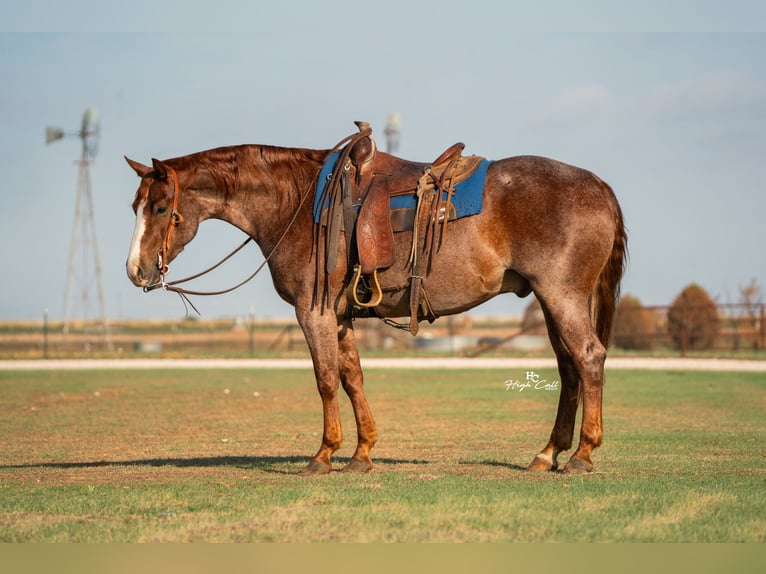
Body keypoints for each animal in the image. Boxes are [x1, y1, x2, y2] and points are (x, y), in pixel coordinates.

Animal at [124, 126, 626, 475]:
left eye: (159, 207)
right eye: (136, 206)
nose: (135, 270)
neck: (296, 204)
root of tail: (598, 184)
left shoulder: (313, 312)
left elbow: (326, 379)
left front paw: (323, 454)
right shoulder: (340, 316)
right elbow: (352, 379)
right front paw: (361, 452)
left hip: (561, 296)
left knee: (588, 358)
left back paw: (582, 454)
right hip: (551, 300)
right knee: (569, 368)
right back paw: (548, 453)